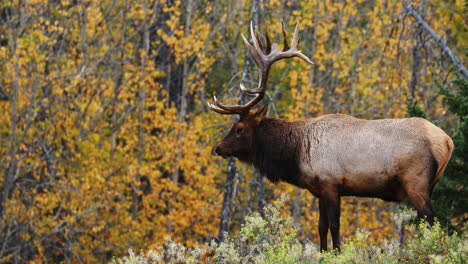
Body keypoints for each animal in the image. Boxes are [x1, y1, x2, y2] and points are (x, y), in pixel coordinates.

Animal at [208, 20, 454, 252]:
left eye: (239, 129)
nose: (218, 148)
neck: (297, 153)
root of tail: (447, 141)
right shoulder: (319, 191)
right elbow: (321, 227)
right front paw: (322, 252)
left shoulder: (331, 183)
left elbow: (335, 226)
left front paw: (336, 252)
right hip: (429, 184)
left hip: (416, 182)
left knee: (432, 222)